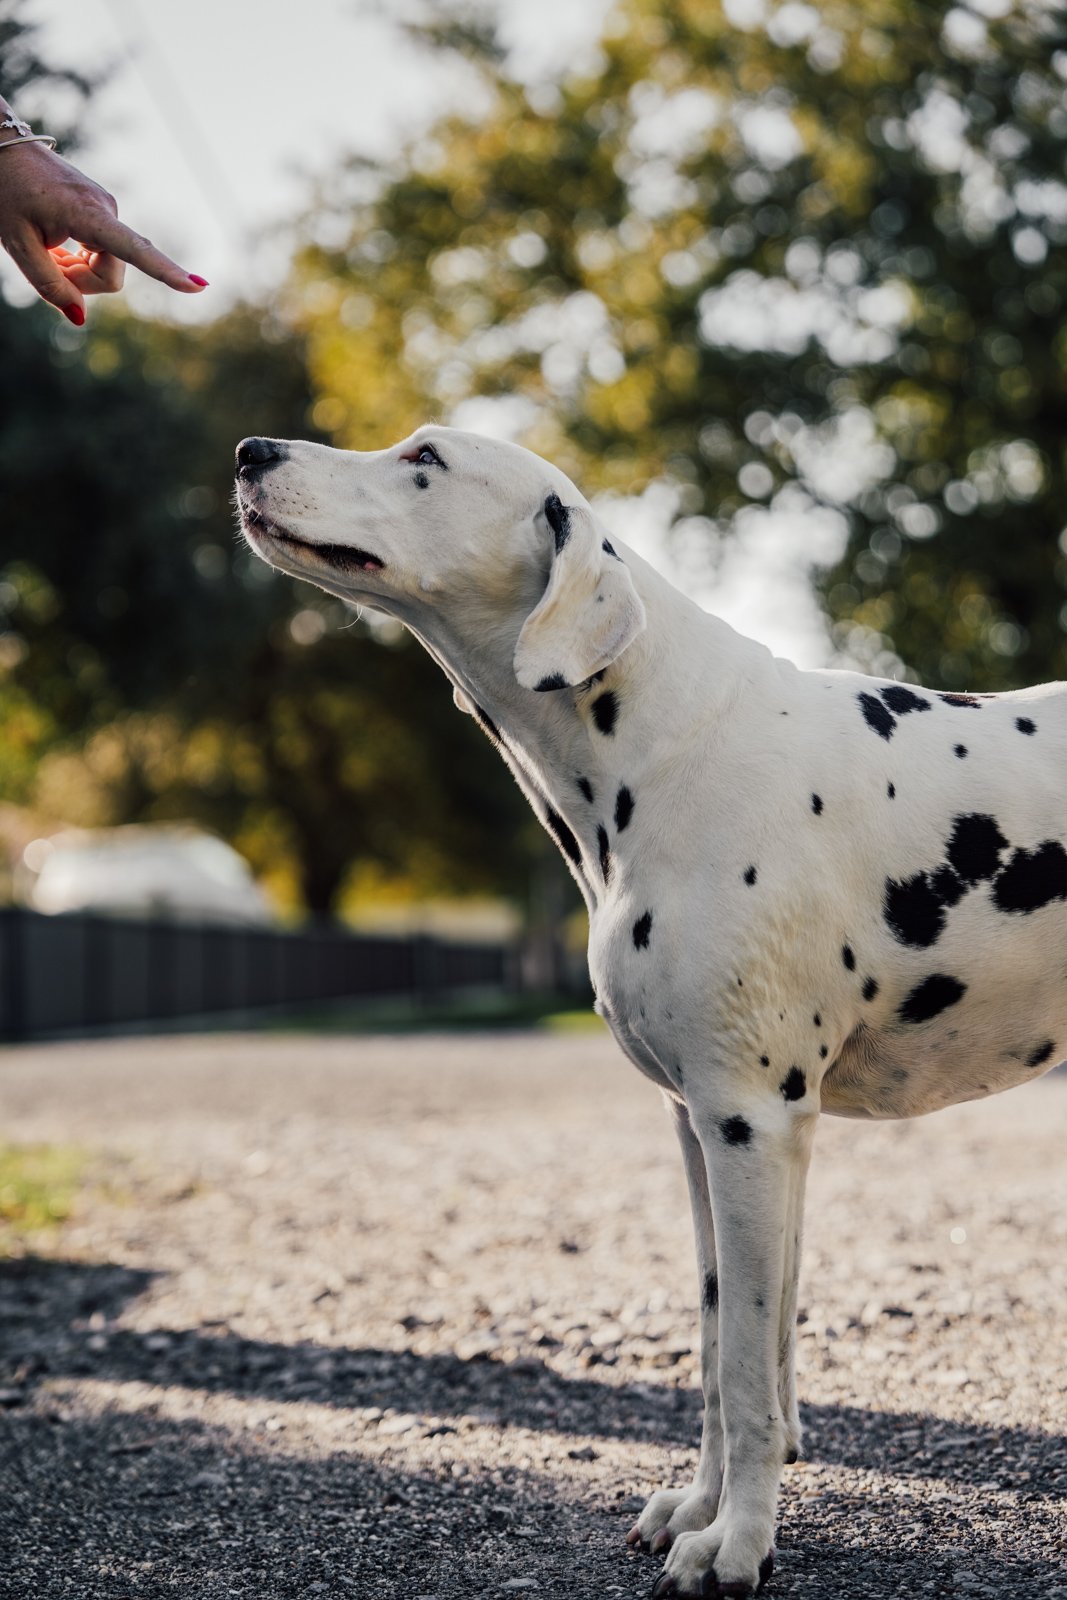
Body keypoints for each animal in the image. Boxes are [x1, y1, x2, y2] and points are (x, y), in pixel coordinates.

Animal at [238, 425, 1062, 1600]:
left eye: (424, 459)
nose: (252, 449)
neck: (671, 746)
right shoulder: (703, 1130)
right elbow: (722, 1353)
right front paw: (703, 1508)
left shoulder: (749, 1123)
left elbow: (750, 1370)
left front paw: (737, 1545)